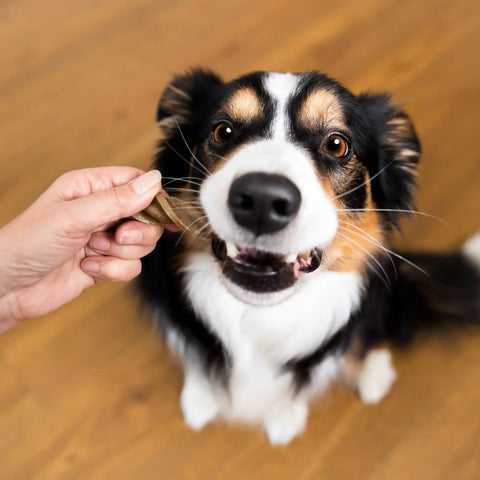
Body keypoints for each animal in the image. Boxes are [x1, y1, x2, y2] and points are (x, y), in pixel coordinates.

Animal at [136, 69, 480, 444]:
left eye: (336, 144)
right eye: (222, 131)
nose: (262, 200)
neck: (258, 316)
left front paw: (286, 417)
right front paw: (200, 398)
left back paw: (374, 375)